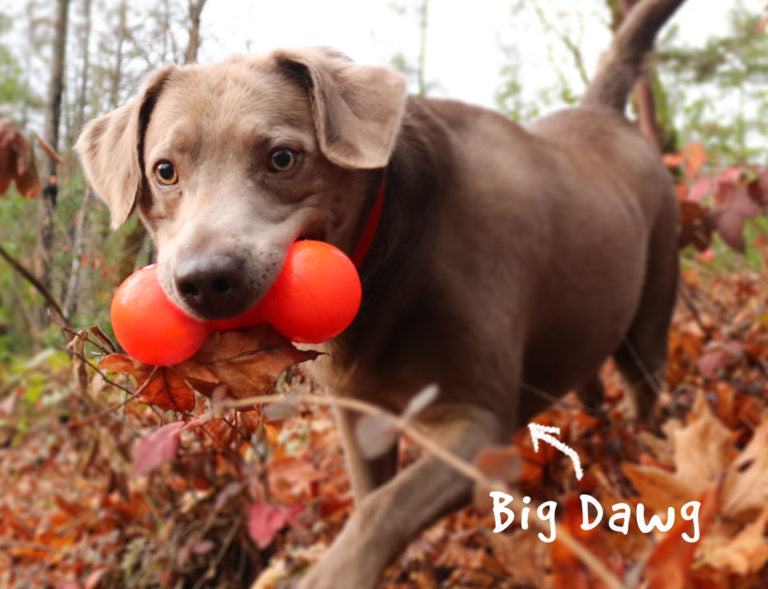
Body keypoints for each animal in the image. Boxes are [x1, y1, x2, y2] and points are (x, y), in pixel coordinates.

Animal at [75, 2, 680, 584]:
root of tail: (605, 113)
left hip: (649, 324)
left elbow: (381, 510)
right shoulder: (361, 418)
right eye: (164, 171)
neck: (384, 275)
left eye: (282, 158)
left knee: (645, 390)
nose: (204, 280)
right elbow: (373, 495)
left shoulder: (475, 424)